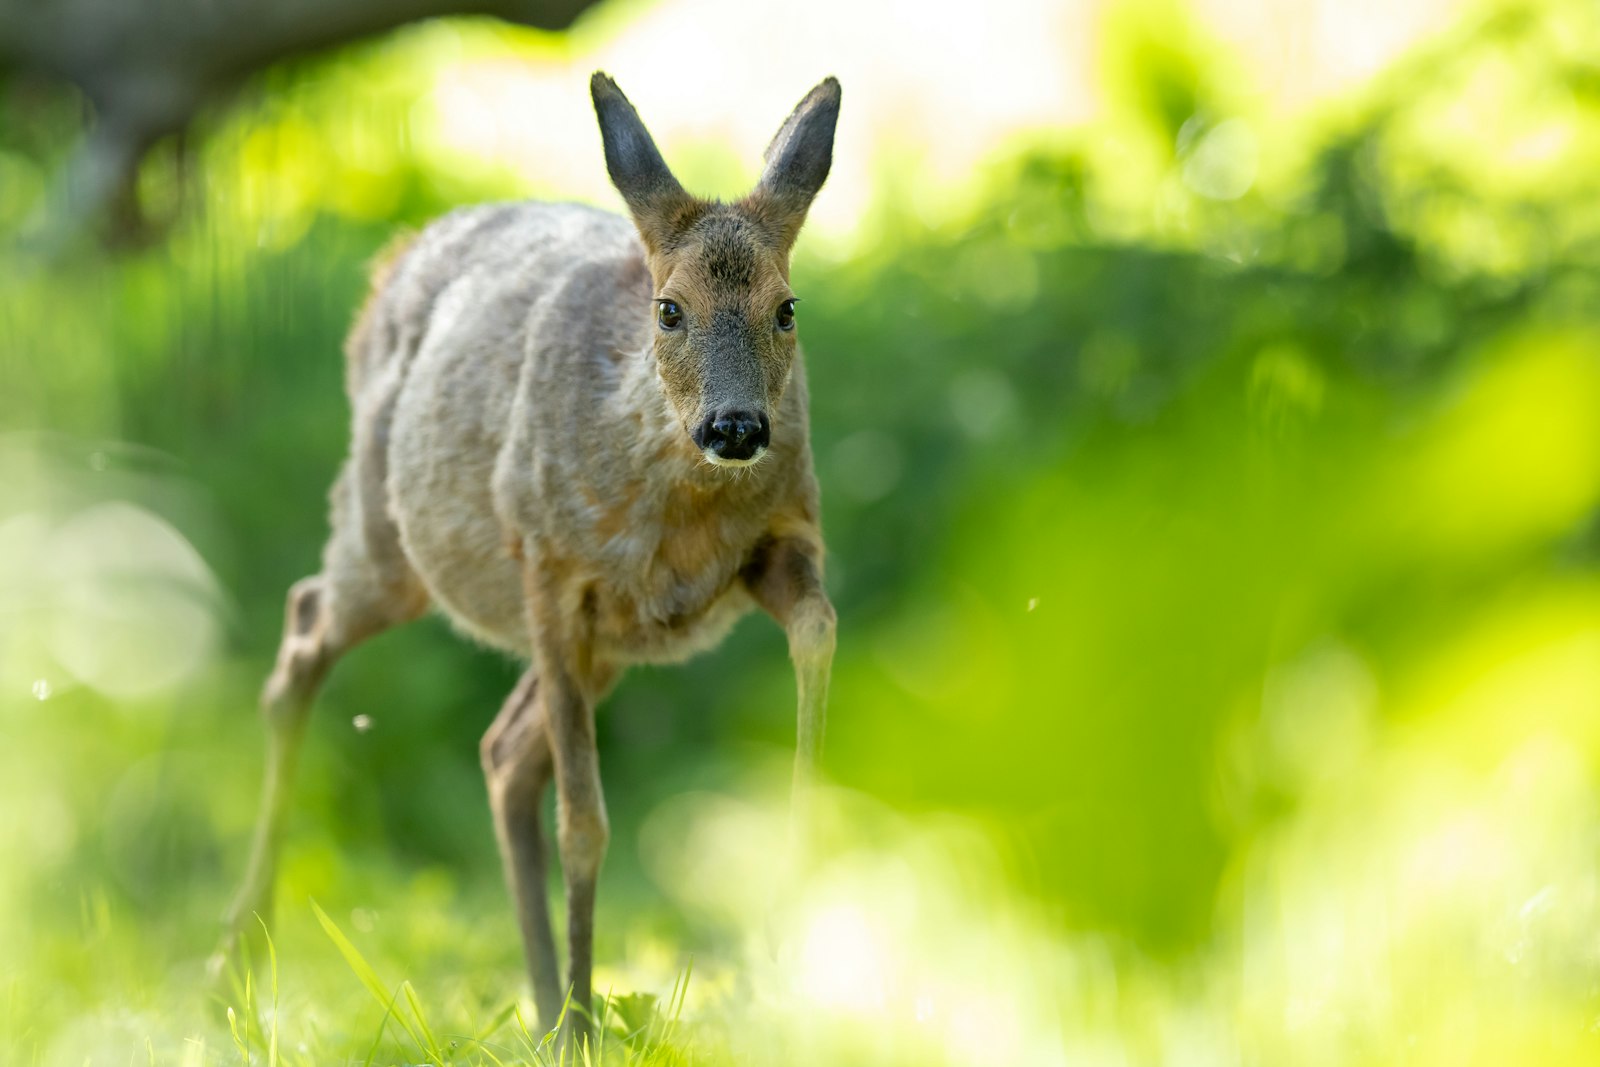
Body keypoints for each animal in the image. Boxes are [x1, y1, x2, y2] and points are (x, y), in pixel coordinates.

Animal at [214, 73, 844, 1043]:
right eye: (670, 308)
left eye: (787, 307)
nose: (737, 427)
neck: (681, 516)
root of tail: (392, 262)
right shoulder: (549, 570)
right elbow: (584, 821)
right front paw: (589, 1031)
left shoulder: (782, 539)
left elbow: (819, 627)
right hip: (390, 542)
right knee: (304, 625)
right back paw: (239, 956)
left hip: (607, 643)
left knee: (502, 749)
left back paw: (549, 1010)